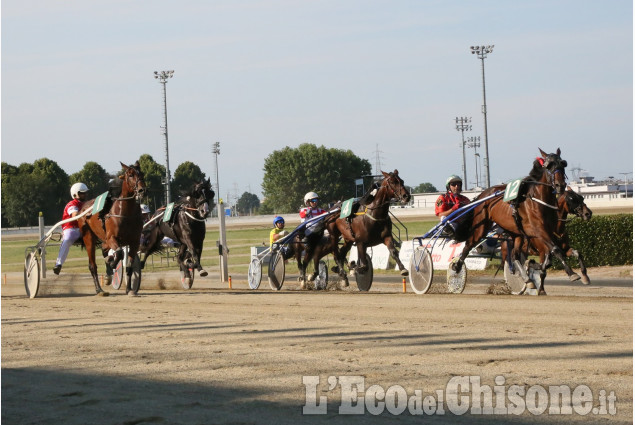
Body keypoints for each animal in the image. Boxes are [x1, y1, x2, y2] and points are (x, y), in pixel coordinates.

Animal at [77, 160, 147, 294]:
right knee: (92, 265)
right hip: (88, 237)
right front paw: (112, 263)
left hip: (104, 240)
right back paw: (99, 289)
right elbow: (119, 253)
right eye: (130, 175)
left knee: (104, 249)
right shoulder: (112, 238)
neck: (126, 214)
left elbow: (129, 266)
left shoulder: (134, 241)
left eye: (142, 174)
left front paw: (130, 289)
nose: (142, 190)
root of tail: (83, 208)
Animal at [452, 147, 572, 294]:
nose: (560, 185)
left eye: (563, 164)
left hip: (515, 232)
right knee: (469, 244)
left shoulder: (548, 231)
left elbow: (549, 255)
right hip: (481, 226)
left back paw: (528, 279)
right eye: (549, 165)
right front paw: (572, 273)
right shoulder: (538, 230)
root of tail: (482, 194)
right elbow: (555, 249)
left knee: (514, 255)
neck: (540, 200)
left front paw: (536, 267)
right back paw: (457, 267)